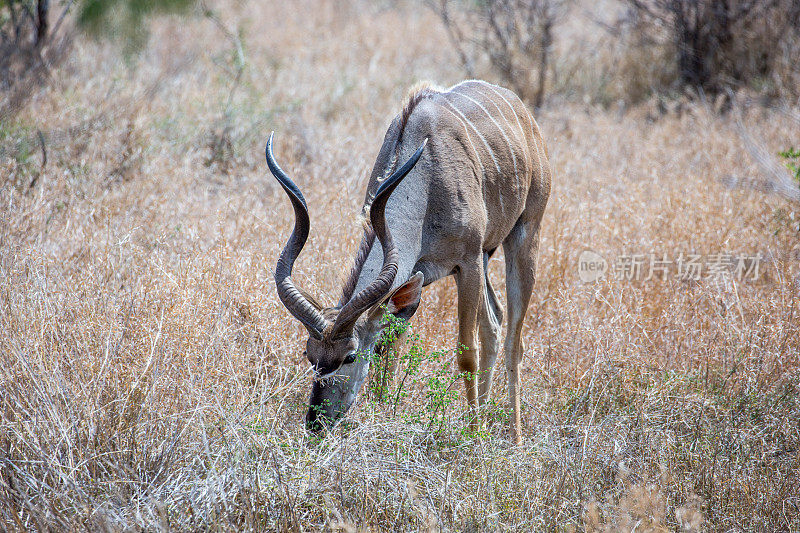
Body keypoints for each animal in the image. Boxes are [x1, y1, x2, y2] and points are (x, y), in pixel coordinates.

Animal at [268, 80, 552, 444]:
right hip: (488, 257)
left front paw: (473, 438)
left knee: (513, 336)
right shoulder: (413, 281)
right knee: (494, 321)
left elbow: (466, 354)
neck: (427, 176)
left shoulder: (468, 262)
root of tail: (524, 113)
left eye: (350, 355)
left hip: (524, 234)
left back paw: (512, 437)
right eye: (309, 353)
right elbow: (392, 351)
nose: (316, 422)